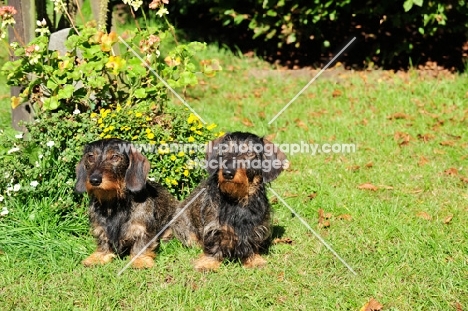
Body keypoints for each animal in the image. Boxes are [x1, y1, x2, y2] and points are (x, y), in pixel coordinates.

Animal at [75, 138, 177, 268]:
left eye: (115, 156)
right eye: (90, 157)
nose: (94, 180)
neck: (114, 203)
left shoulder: (143, 229)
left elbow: (140, 245)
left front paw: (140, 260)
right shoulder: (101, 229)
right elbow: (103, 243)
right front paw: (99, 257)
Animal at [173, 132, 288, 270]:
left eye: (249, 153)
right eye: (224, 150)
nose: (228, 173)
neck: (236, 200)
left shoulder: (256, 228)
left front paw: (254, 260)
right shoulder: (214, 228)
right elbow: (213, 246)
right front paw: (207, 263)